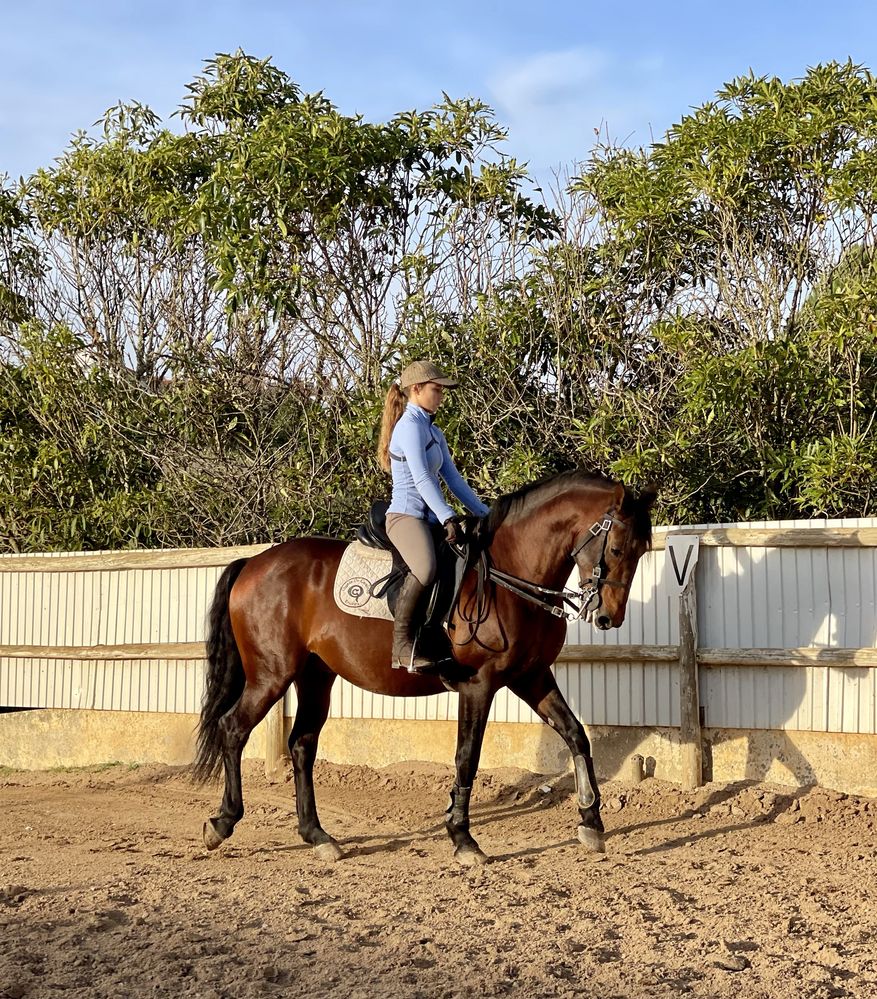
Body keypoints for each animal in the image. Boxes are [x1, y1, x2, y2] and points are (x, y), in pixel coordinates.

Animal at [195, 470, 652, 868]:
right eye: (616, 549)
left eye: (641, 551)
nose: (609, 618)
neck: (511, 573)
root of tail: (255, 561)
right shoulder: (479, 684)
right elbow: (467, 757)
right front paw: (463, 838)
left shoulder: (532, 677)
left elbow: (576, 735)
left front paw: (591, 822)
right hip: (271, 675)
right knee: (233, 729)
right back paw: (221, 823)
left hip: (314, 677)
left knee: (302, 745)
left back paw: (318, 836)